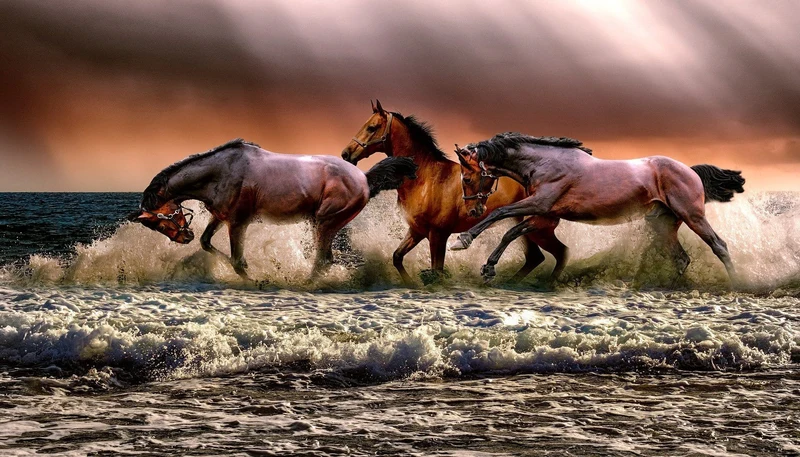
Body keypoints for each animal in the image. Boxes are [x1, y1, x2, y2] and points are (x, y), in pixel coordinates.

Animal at [132, 138, 417, 280]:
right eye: (155, 225)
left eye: (160, 220)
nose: (184, 237)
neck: (221, 172)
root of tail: (365, 178)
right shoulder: (221, 217)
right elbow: (206, 242)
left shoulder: (238, 223)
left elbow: (237, 261)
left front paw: (257, 281)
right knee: (324, 260)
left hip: (325, 222)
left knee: (323, 260)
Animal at [340, 99, 570, 285]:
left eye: (371, 127)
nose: (346, 154)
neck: (426, 179)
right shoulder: (416, 231)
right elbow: (397, 257)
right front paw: (411, 283)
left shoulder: (438, 235)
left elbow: (437, 271)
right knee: (537, 257)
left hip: (537, 229)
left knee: (557, 253)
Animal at [450, 132, 745, 284]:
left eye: (466, 178)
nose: (473, 211)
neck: (544, 163)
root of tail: (690, 171)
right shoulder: (545, 215)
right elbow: (511, 232)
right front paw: (488, 268)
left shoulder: (540, 204)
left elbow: (500, 214)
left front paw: (462, 240)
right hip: (662, 224)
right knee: (681, 258)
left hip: (692, 216)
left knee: (719, 245)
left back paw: (737, 283)